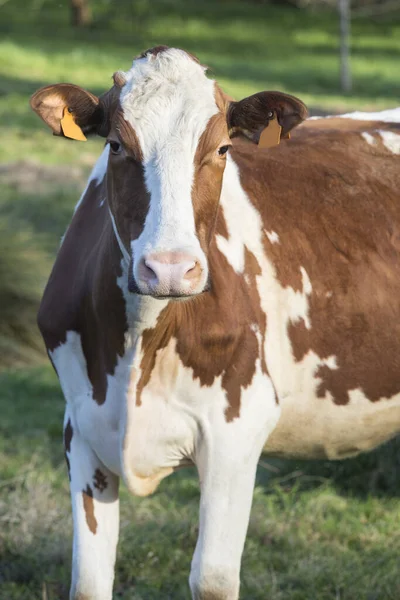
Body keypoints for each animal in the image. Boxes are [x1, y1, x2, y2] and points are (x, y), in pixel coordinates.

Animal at [30, 48, 400, 600]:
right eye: (116, 144)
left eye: (223, 147)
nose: (169, 268)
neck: (139, 347)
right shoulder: (81, 427)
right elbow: (89, 582)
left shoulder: (237, 428)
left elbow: (212, 578)